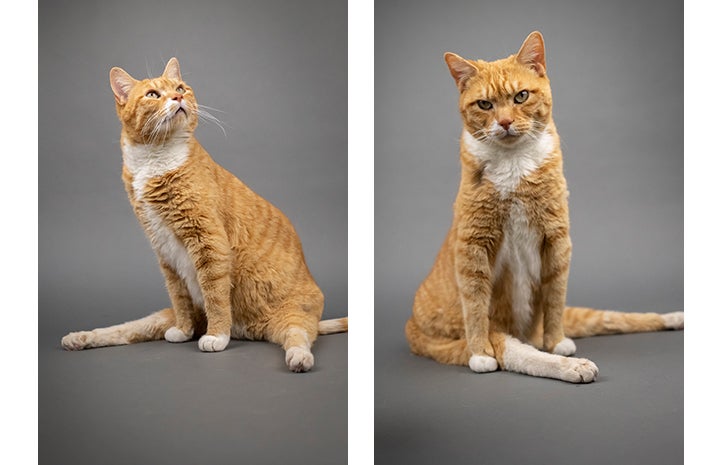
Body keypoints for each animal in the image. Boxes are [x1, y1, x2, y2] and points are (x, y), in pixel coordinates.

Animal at [60, 58, 348, 372]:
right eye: (153, 94)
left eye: (180, 88)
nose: (178, 98)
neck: (154, 158)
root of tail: (248, 330)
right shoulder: (164, 251)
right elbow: (179, 297)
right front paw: (184, 331)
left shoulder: (209, 240)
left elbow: (216, 295)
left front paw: (217, 336)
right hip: (160, 315)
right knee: (126, 330)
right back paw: (79, 338)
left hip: (291, 317)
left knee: (299, 335)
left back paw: (297, 358)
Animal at [404, 30, 680, 382]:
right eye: (485, 104)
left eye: (521, 96)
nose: (505, 122)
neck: (514, 163)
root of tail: (410, 323)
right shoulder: (473, 245)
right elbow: (476, 305)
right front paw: (480, 354)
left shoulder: (557, 239)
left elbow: (555, 298)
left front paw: (557, 340)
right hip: (471, 337)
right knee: (522, 353)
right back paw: (575, 366)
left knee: (603, 318)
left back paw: (672, 318)